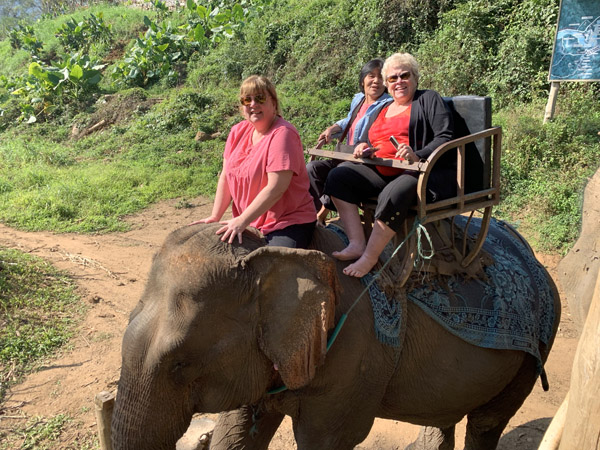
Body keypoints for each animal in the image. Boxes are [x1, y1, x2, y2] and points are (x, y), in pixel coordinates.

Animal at [110, 220, 560, 448]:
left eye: (180, 362)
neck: (272, 255)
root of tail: (531, 254)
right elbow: (236, 434)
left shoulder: (356, 359)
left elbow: (325, 441)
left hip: (534, 348)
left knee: (486, 423)